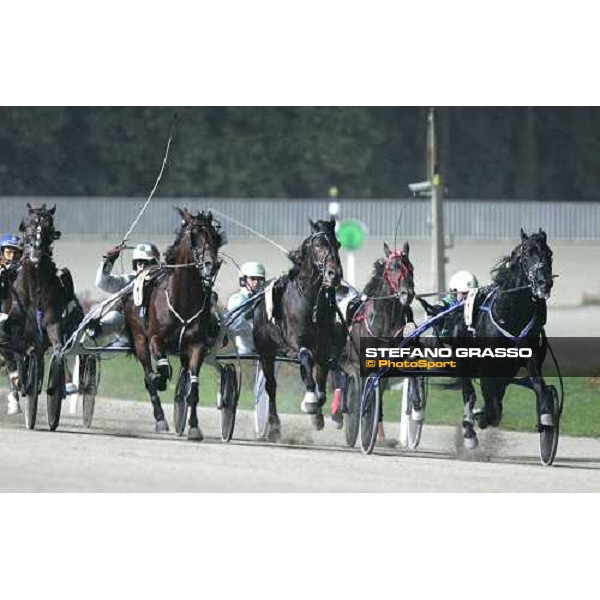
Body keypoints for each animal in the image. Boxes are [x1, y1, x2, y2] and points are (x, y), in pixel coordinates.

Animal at [123, 209, 224, 438]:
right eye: (193, 235)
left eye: (215, 236)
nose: (211, 265)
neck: (183, 300)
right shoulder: (155, 340)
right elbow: (160, 371)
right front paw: (160, 379)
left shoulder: (196, 345)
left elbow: (193, 387)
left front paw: (194, 426)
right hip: (139, 340)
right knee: (148, 377)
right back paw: (160, 417)